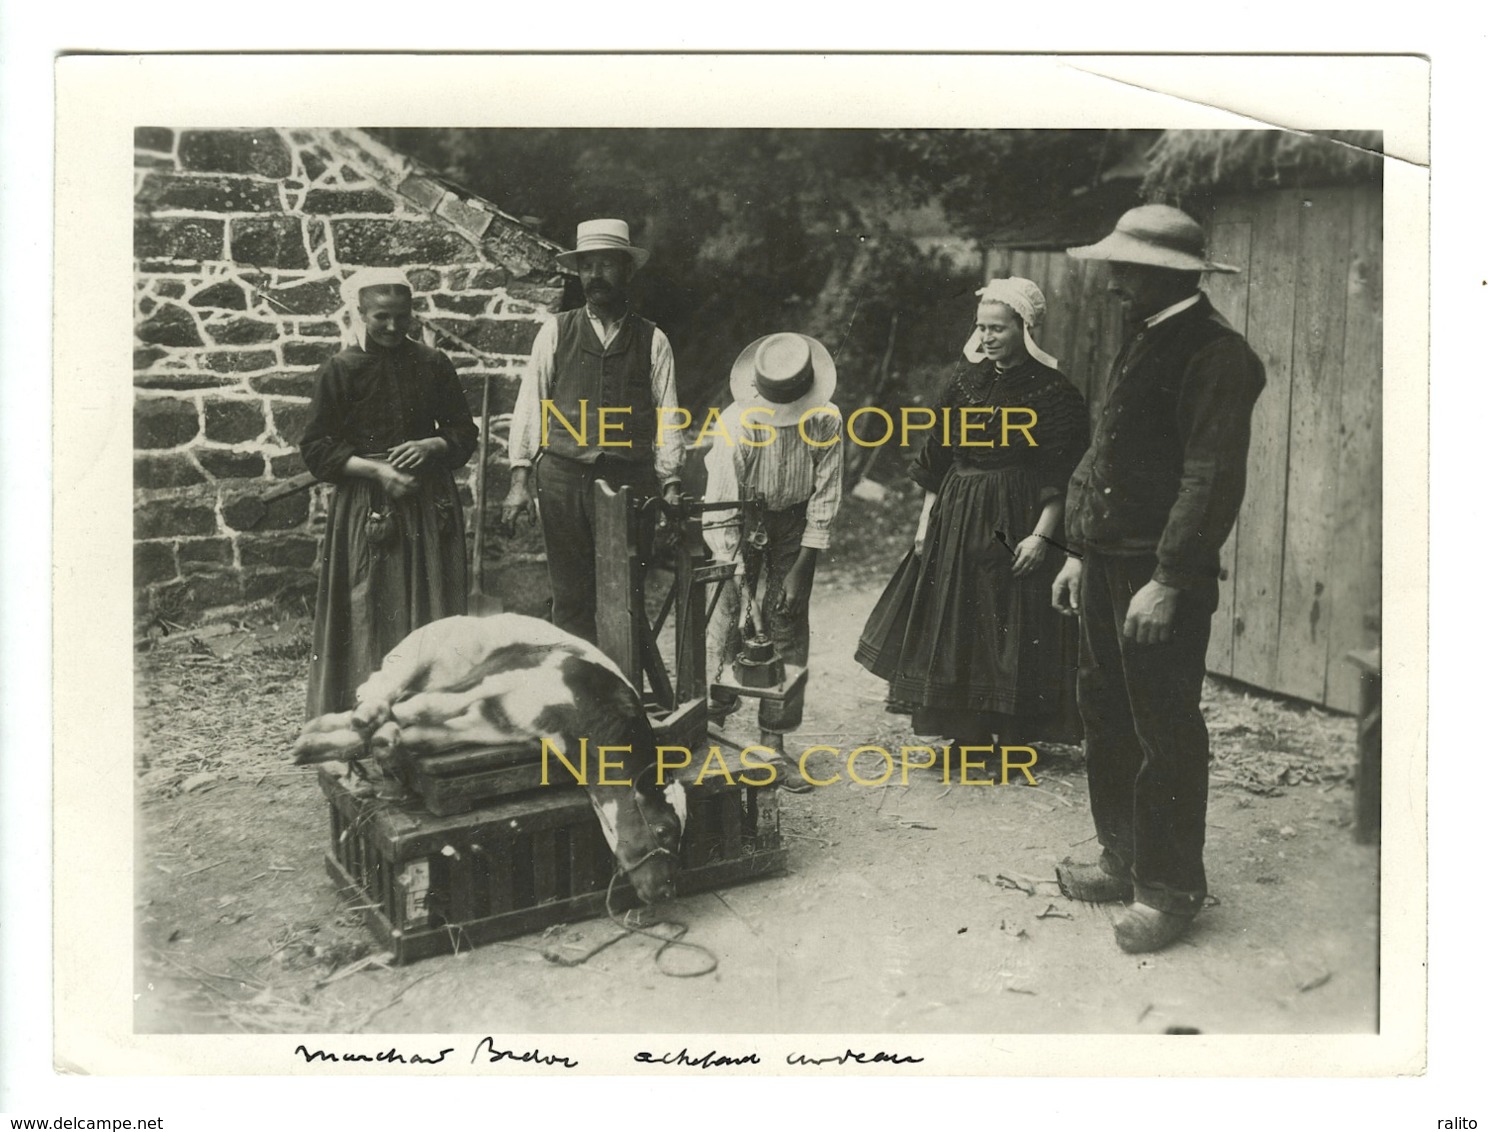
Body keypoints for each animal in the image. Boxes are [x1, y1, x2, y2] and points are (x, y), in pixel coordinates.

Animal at [296, 612, 690, 904]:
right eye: (664, 829)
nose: (666, 891)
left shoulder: (498, 722)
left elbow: (422, 733)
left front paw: (376, 740)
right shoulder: (499, 674)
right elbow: (420, 707)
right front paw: (351, 736)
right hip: (414, 658)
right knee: (379, 691)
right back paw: (344, 724)